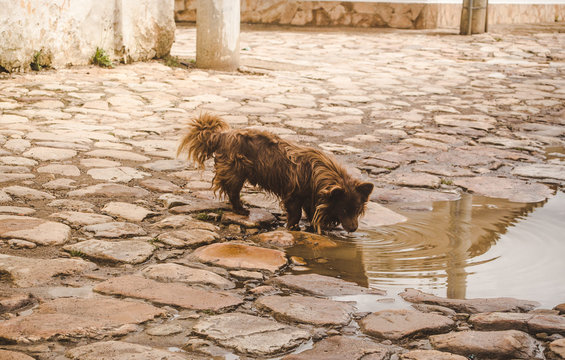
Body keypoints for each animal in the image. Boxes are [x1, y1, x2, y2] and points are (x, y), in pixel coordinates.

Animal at [178, 113, 372, 233]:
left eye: (357, 210)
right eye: (344, 209)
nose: (354, 229)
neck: (316, 174)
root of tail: (221, 135)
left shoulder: (311, 196)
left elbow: (311, 211)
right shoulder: (293, 196)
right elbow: (295, 213)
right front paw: (294, 227)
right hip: (237, 172)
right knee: (233, 192)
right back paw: (241, 209)